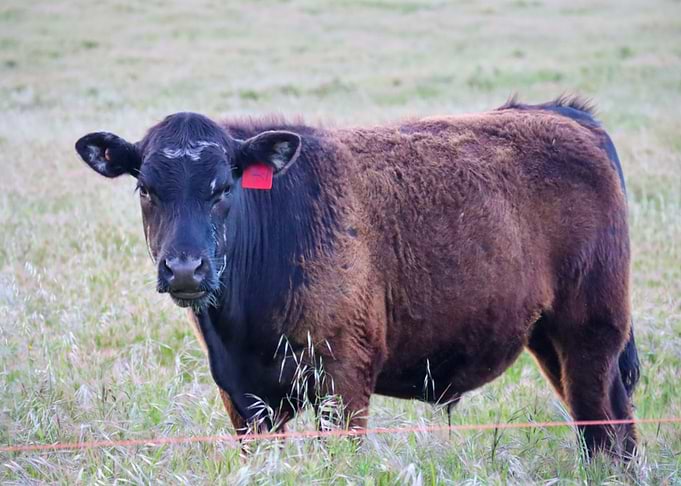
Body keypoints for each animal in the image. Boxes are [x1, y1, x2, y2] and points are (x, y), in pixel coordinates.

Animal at [75, 96, 640, 457]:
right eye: (146, 188)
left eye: (223, 188)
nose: (185, 268)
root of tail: (566, 115)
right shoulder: (245, 403)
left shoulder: (344, 383)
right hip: (550, 339)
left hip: (589, 334)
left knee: (601, 430)